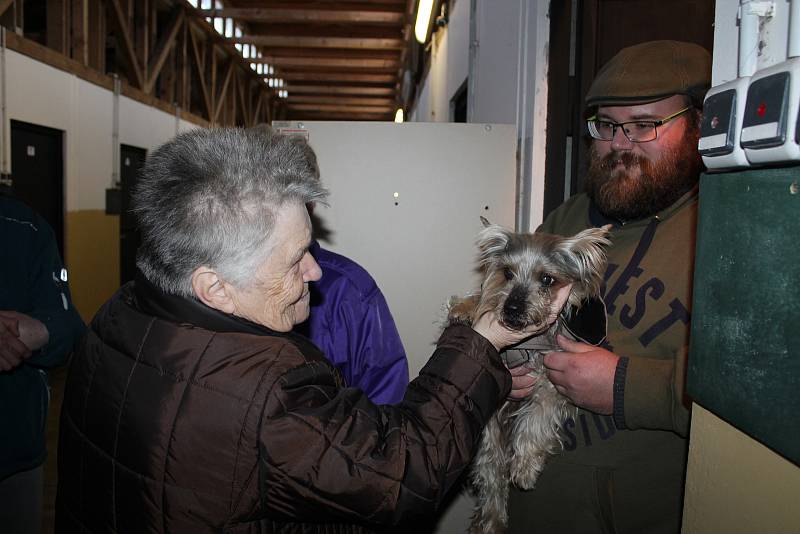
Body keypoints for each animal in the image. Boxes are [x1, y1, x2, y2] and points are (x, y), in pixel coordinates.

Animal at [446, 219, 608, 534]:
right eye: (507, 273)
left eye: (547, 279)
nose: (512, 308)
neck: (529, 343)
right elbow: (483, 296)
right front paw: (464, 309)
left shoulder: (553, 382)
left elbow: (536, 418)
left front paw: (524, 467)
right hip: (487, 440)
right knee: (492, 478)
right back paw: (491, 520)